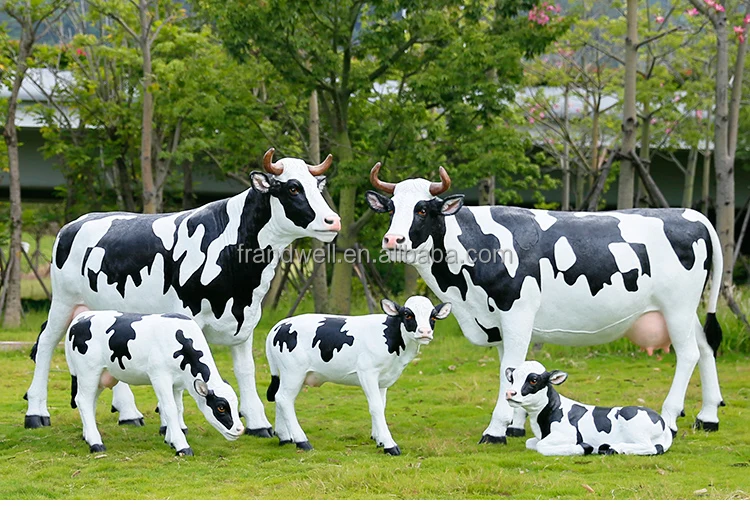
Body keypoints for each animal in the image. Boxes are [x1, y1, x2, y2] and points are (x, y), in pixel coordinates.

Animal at [24, 148, 340, 439]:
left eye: (317, 188)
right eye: (293, 187)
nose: (332, 220)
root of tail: (75, 223)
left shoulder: (245, 322)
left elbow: (246, 371)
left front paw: (258, 424)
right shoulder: (186, 317)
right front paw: (174, 424)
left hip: (106, 311)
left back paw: (129, 413)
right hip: (64, 300)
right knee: (46, 342)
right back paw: (36, 413)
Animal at [65, 308, 244, 456]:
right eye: (221, 407)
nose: (240, 429)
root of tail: (80, 318)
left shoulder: (177, 384)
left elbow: (177, 408)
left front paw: (170, 440)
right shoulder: (160, 376)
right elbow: (169, 408)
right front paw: (181, 445)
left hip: (99, 376)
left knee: (90, 402)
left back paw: (87, 436)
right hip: (88, 371)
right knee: (83, 400)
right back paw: (96, 444)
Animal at [265, 296, 452, 455]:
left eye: (433, 317)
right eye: (408, 314)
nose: (425, 332)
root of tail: (279, 325)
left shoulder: (383, 379)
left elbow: (381, 406)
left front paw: (379, 439)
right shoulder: (367, 372)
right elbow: (375, 406)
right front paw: (389, 444)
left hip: (290, 374)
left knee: (279, 398)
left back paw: (284, 437)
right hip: (293, 371)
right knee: (284, 399)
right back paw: (302, 441)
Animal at [365, 164, 724, 445]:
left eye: (422, 209)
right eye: (392, 208)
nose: (393, 240)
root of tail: (690, 214)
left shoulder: (517, 314)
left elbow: (508, 369)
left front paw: (495, 430)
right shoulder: (496, 322)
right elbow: (511, 369)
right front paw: (515, 425)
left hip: (677, 306)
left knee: (689, 354)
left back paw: (671, 419)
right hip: (684, 309)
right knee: (706, 346)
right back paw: (708, 417)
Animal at [506, 361, 673, 456]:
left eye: (533, 380)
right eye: (512, 378)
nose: (509, 393)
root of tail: (662, 421)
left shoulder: (568, 435)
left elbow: (541, 446)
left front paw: (584, 448)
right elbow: (530, 443)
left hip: (633, 424)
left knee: (650, 447)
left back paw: (613, 448)